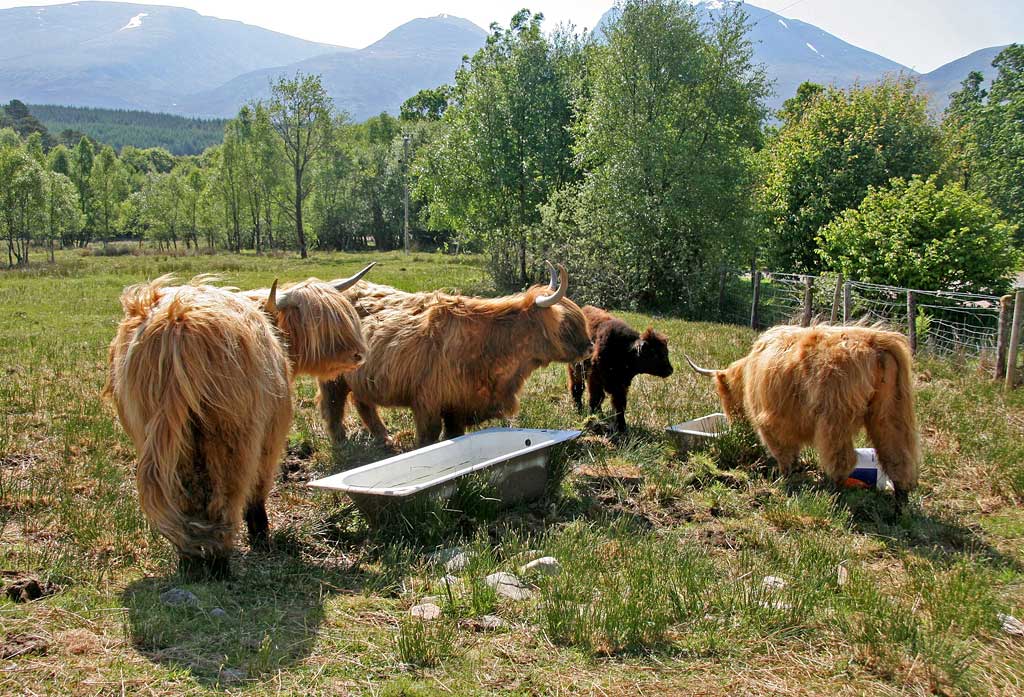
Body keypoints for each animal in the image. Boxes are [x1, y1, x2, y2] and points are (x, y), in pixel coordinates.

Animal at [105, 268, 370, 578]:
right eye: (319, 320)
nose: (358, 354)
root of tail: (176, 324)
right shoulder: (271, 430)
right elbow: (259, 484)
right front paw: (260, 535)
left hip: (156, 430)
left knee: (181, 492)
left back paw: (191, 559)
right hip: (234, 434)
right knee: (227, 492)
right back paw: (220, 561)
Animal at [318, 263, 593, 447]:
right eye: (566, 325)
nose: (590, 347)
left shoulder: (458, 405)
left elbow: (454, 435)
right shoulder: (427, 401)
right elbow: (428, 438)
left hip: (362, 377)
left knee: (362, 402)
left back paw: (384, 438)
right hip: (333, 376)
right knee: (333, 404)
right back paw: (341, 443)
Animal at [568, 305, 673, 437]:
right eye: (654, 354)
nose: (670, 370)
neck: (624, 351)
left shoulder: (621, 386)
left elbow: (619, 405)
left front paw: (622, 427)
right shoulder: (595, 379)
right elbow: (596, 398)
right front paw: (594, 418)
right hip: (576, 371)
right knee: (577, 389)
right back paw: (578, 409)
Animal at [685, 324, 920, 510]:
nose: (734, 424)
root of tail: (875, 343)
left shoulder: (772, 420)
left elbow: (783, 451)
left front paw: (784, 478)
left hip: (835, 417)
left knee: (841, 458)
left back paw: (833, 493)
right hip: (891, 411)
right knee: (897, 455)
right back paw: (900, 506)